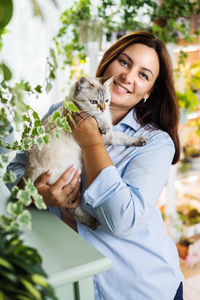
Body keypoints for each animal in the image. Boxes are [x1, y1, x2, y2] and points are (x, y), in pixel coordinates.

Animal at [24, 76, 148, 229]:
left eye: (107, 100)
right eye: (93, 102)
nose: (103, 109)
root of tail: (29, 177)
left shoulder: (110, 136)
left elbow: (125, 138)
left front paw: (140, 141)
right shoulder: (102, 132)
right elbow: (106, 126)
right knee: (71, 209)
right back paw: (92, 222)